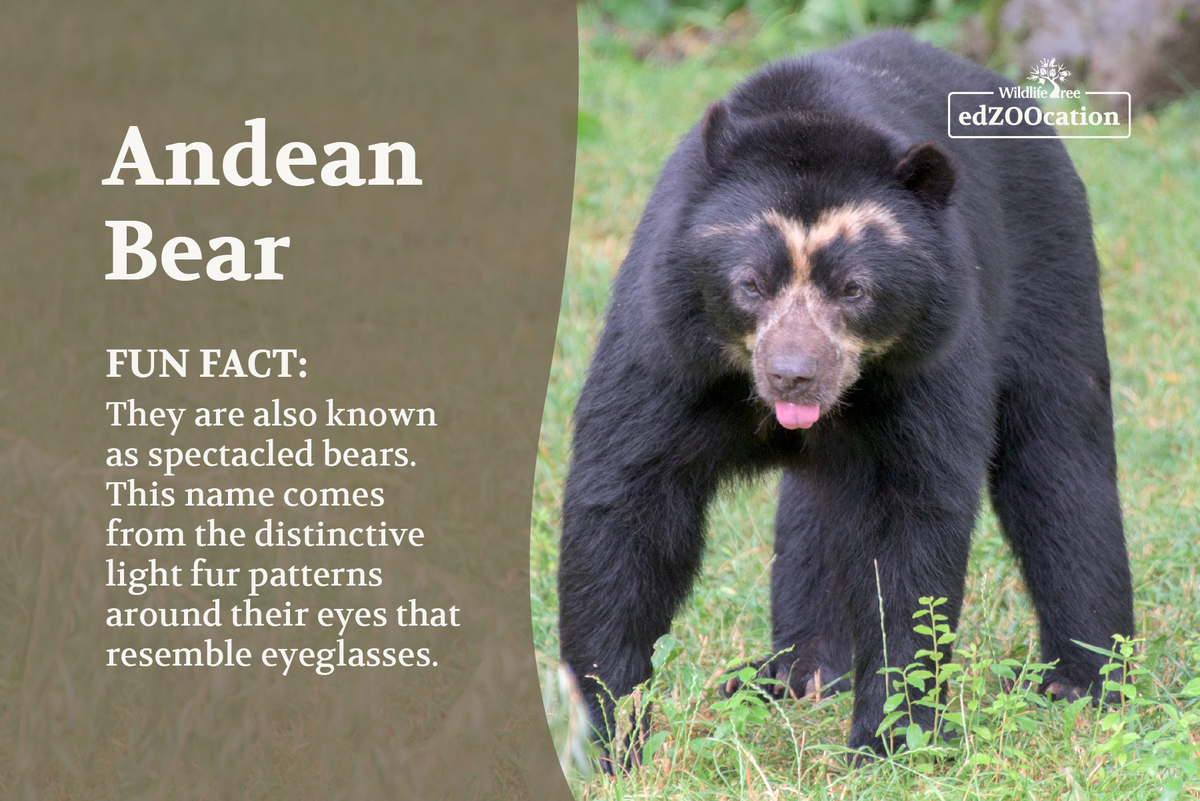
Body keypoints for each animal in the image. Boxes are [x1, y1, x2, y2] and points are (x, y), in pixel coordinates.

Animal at [556, 31, 1134, 766]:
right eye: (750, 284)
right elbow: (627, 499)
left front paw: (890, 741)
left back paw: (1084, 683)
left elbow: (908, 527)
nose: (794, 376)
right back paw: (794, 675)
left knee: (1060, 460)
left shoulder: (929, 357)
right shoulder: (664, 339)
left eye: (854, 289)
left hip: (1053, 268)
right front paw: (608, 736)